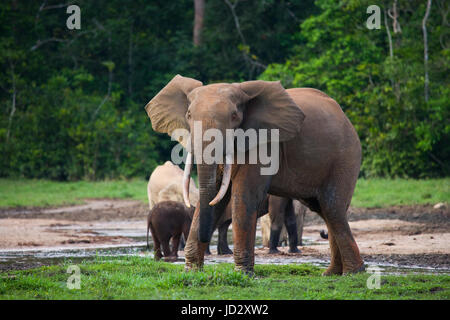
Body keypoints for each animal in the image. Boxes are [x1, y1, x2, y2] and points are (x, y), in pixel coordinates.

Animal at [146, 75, 364, 276]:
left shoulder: (263, 143)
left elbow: (244, 196)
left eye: (234, 116)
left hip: (346, 157)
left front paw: (243, 273)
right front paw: (191, 271)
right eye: (189, 115)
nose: (204, 239)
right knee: (325, 210)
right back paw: (332, 273)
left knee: (332, 209)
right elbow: (216, 195)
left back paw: (353, 273)